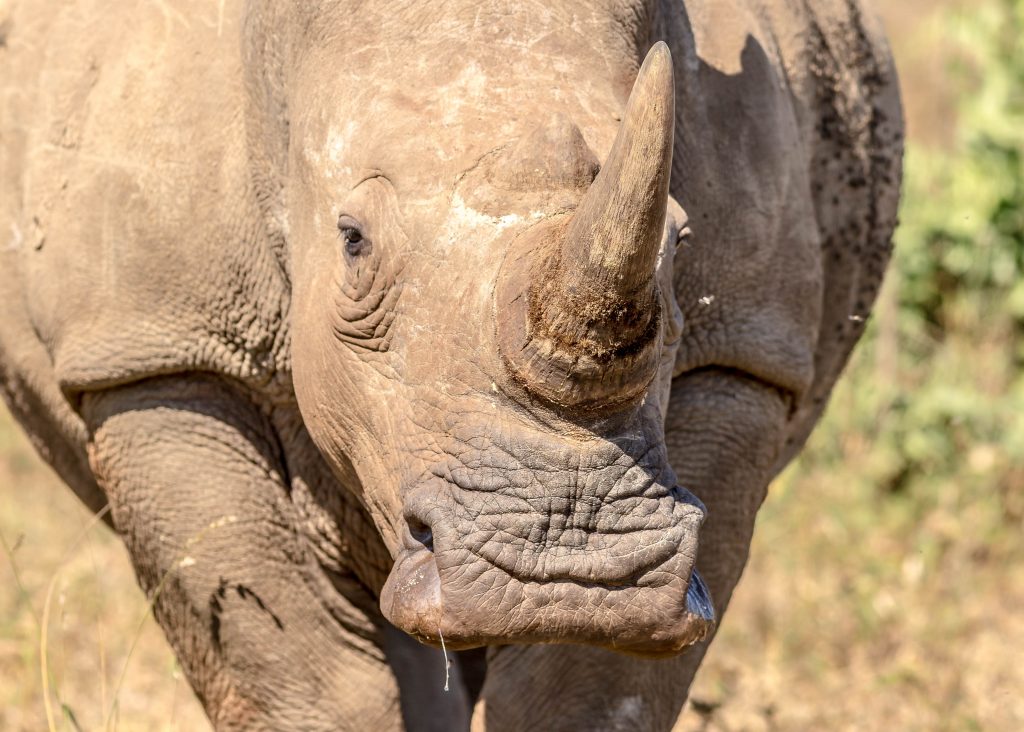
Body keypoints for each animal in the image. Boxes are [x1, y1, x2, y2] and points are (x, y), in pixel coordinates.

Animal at [0, 0, 902, 729]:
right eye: (352, 241)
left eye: (681, 242)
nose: (564, 571)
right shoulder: (157, 351)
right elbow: (298, 672)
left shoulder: (743, 359)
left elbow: (588, 691)